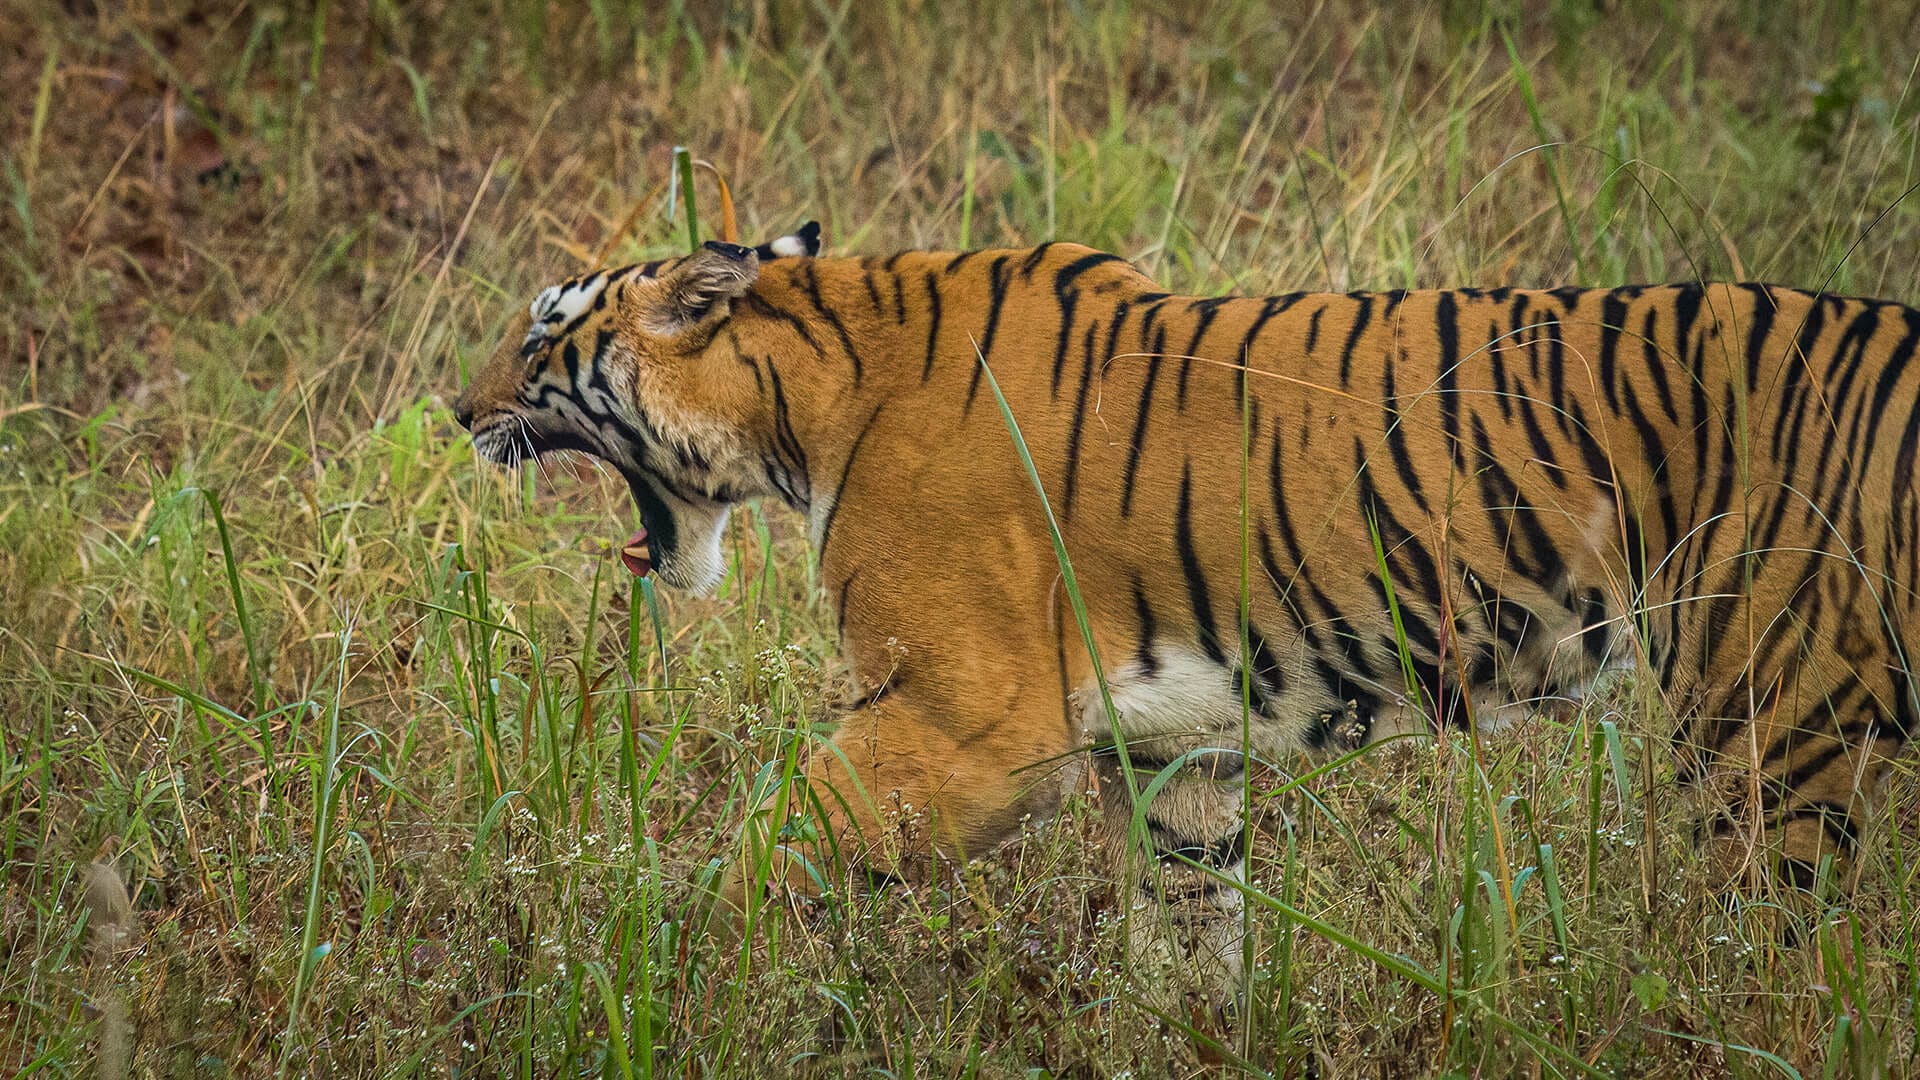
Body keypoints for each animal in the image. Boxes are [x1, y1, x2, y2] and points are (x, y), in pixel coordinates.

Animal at [453, 223, 1919, 1007]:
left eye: (535, 342)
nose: (456, 413)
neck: (806, 399)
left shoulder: (968, 731)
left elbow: (762, 858)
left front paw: (629, 975)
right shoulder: (1177, 756)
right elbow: (1188, 943)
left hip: (1772, 724)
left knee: (1775, 973)